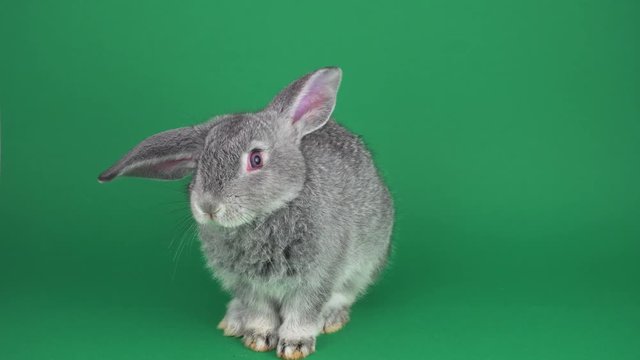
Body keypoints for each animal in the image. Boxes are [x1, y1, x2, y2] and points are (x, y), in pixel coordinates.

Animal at [97, 68, 392, 360]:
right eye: (199, 165)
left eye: (256, 159)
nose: (208, 206)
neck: (266, 215)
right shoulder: (246, 285)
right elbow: (259, 311)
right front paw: (258, 338)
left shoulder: (317, 275)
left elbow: (303, 310)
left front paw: (294, 345)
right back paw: (234, 321)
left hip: (366, 262)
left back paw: (331, 318)